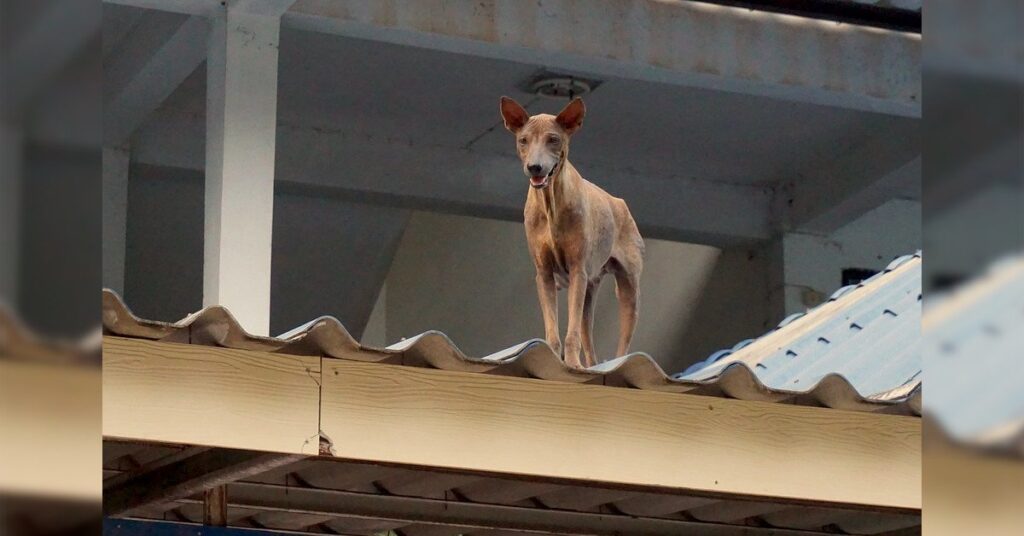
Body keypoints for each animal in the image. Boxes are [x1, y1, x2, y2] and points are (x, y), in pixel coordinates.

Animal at [499, 96, 643, 368]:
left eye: (553, 139)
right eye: (523, 140)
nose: (535, 167)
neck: (551, 205)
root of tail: (619, 203)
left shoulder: (577, 270)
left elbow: (571, 332)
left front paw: (572, 364)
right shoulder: (544, 275)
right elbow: (552, 331)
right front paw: (554, 359)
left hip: (627, 290)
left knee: (622, 347)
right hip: (589, 290)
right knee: (590, 345)